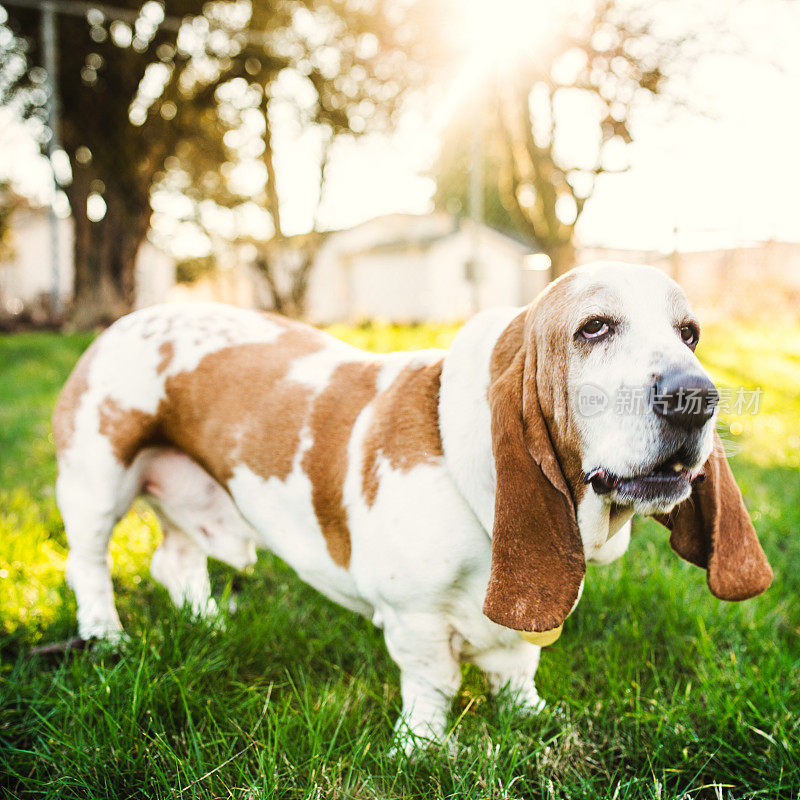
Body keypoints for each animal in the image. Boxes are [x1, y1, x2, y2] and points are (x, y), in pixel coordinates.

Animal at [54, 264, 768, 752]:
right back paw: (106, 636)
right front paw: (422, 749)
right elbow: (435, 684)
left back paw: (205, 623)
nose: (697, 397)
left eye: (690, 334)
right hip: (97, 481)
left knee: (174, 562)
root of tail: (123, 322)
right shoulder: (413, 618)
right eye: (594, 328)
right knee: (88, 565)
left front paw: (533, 717)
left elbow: (518, 667)